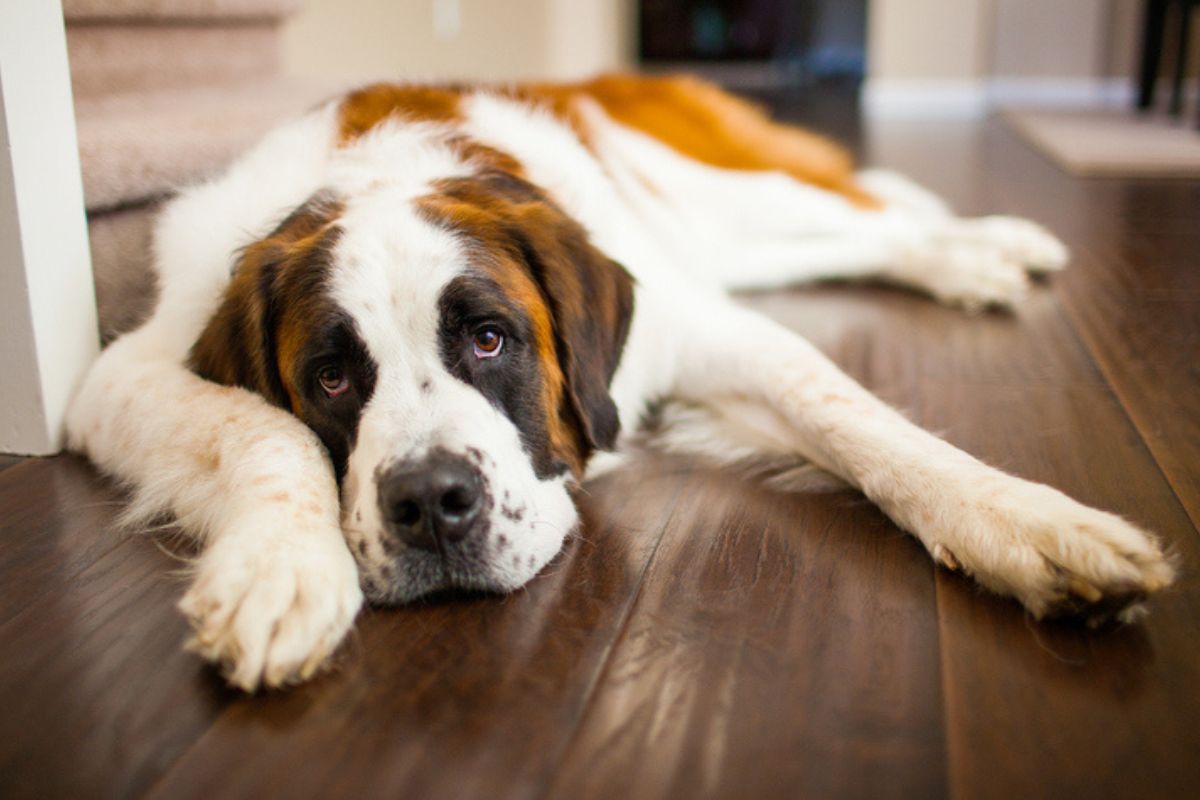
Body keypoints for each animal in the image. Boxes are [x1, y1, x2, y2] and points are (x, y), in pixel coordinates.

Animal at [68, 73, 1171, 690]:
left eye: (489, 340)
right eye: (333, 378)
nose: (429, 503)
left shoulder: (696, 328)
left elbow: (850, 412)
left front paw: (1022, 520)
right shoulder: (122, 373)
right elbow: (264, 430)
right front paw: (280, 569)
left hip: (728, 200)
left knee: (873, 212)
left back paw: (992, 245)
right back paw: (974, 259)